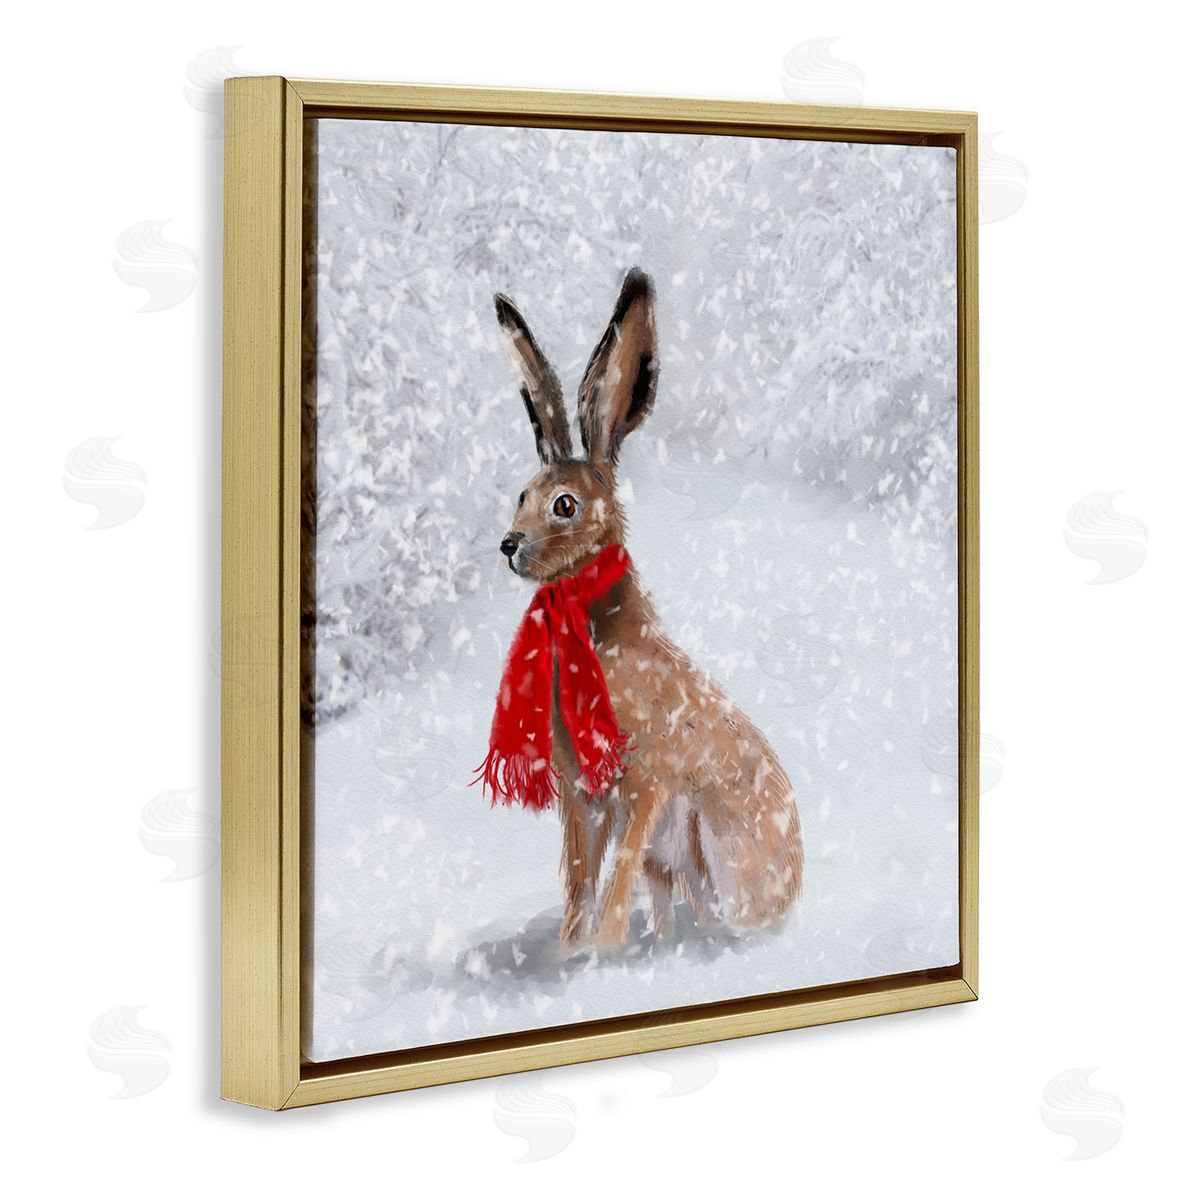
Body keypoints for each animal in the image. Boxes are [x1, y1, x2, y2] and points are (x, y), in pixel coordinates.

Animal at [491, 267, 803, 949]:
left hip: (709, 840)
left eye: (563, 505)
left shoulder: (647, 783)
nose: (509, 544)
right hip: (674, 862)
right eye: (521, 494)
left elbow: (611, 886)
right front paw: (571, 952)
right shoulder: (581, 798)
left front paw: (599, 952)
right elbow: (580, 880)